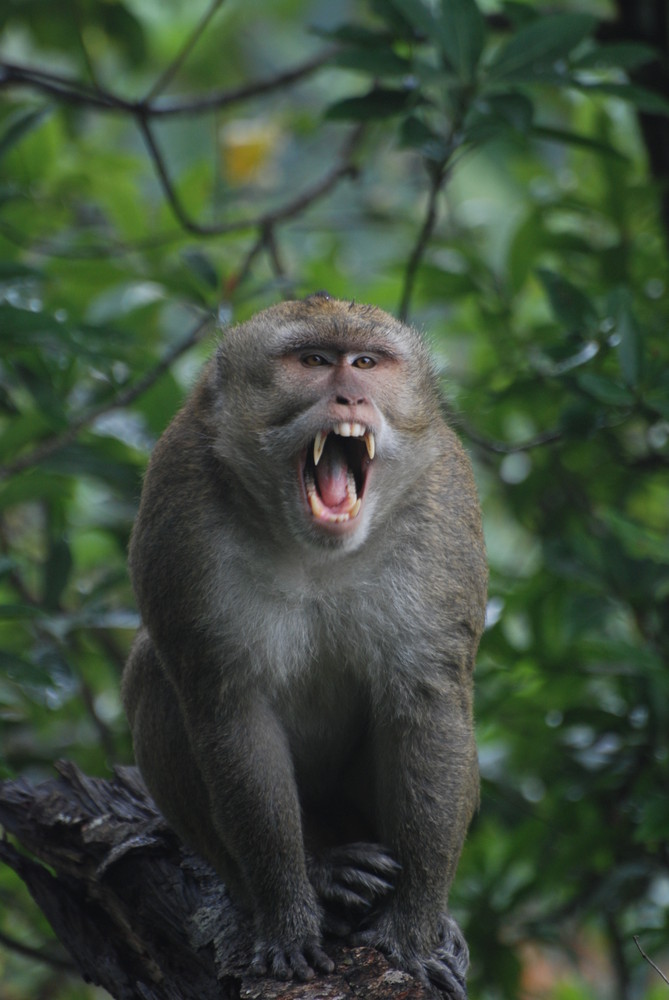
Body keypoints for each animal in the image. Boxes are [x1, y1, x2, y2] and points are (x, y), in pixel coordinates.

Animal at [121, 292, 486, 996]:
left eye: (366, 363)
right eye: (314, 361)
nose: (350, 397)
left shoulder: (443, 510)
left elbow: (428, 703)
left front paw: (412, 931)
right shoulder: (180, 507)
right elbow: (229, 708)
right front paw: (289, 917)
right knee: (156, 671)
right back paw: (321, 877)